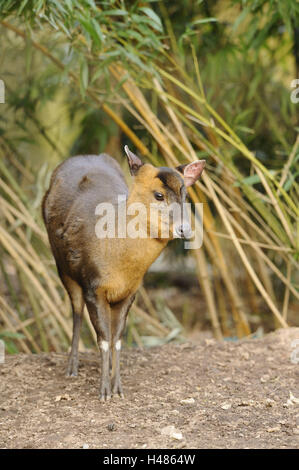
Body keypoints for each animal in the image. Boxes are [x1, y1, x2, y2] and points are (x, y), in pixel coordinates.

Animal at [42, 147, 206, 400]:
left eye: (185, 194)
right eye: (158, 195)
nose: (184, 229)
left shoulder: (130, 291)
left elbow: (117, 338)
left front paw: (117, 388)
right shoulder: (93, 285)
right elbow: (103, 339)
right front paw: (103, 392)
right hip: (63, 267)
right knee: (76, 311)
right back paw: (72, 367)